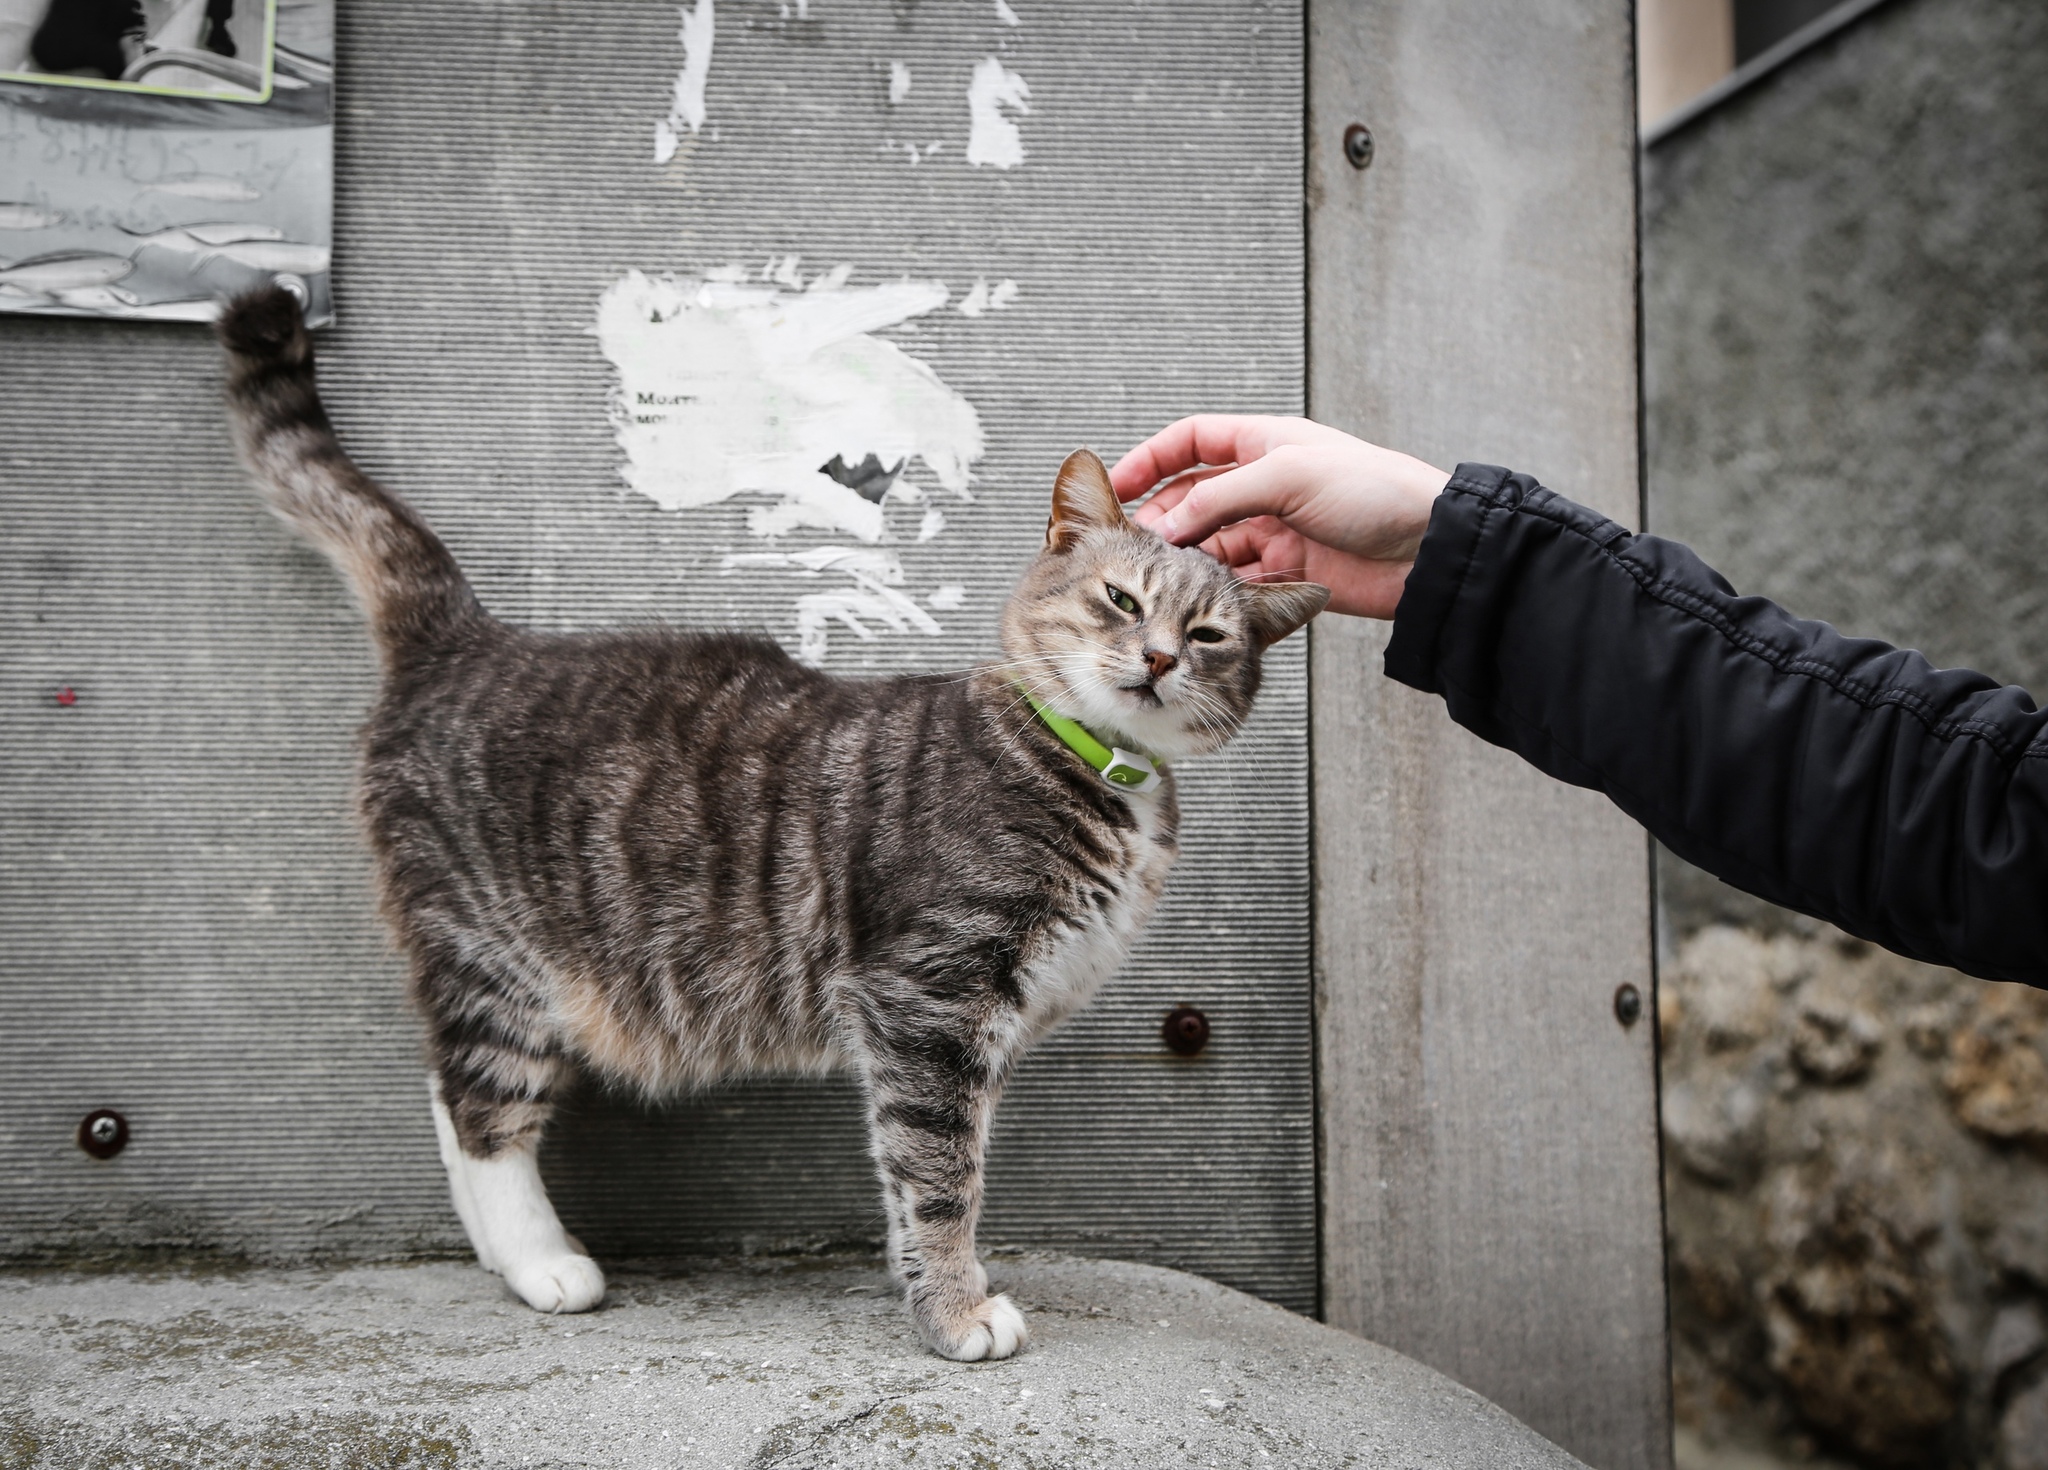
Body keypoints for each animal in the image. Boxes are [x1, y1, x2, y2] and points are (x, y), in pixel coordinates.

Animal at [211, 288, 1327, 1367]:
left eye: (1209, 634)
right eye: (1120, 600)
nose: (1158, 659)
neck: (1092, 766)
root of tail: (468, 640)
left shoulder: (971, 1029)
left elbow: (926, 1167)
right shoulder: (929, 1001)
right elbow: (939, 1174)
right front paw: (956, 1309)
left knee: (448, 1096)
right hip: (492, 959)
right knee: (479, 1109)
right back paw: (537, 1260)